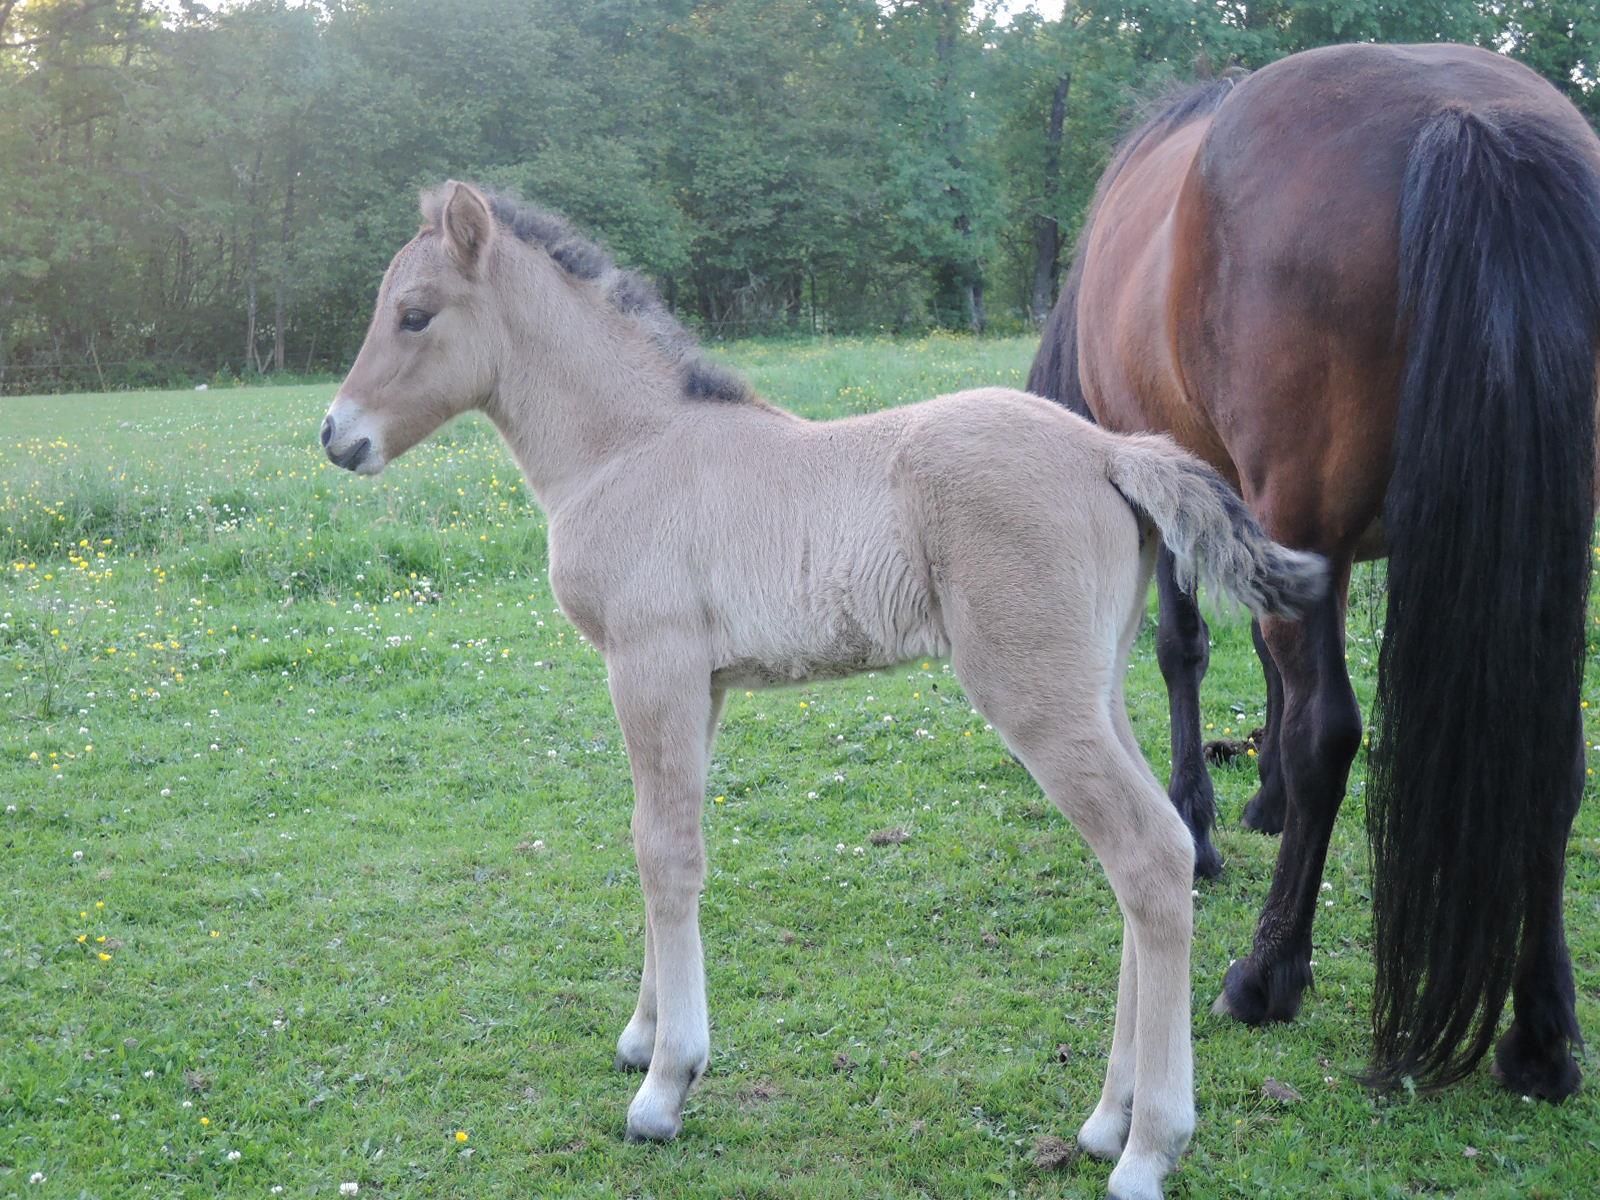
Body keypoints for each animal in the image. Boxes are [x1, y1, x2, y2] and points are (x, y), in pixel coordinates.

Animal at [321, 180, 1324, 1200]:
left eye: (415, 314)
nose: (336, 434)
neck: (629, 448)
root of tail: (1111, 453)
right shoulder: (699, 684)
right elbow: (660, 837)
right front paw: (642, 1034)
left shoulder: (650, 664)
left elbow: (664, 852)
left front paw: (665, 1083)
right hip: (1096, 689)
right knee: (1150, 852)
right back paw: (1105, 1119)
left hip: (1036, 696)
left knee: (1151, 857)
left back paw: (1149, 1145)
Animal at [1030, 42, 1593, 1100]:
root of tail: (1464, 117)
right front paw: (1264, 801)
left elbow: (1186, 648)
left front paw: (1199, 826)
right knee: (1555, 755)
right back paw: (1540, 1036)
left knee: (1329, 732)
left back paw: (1267, 972)